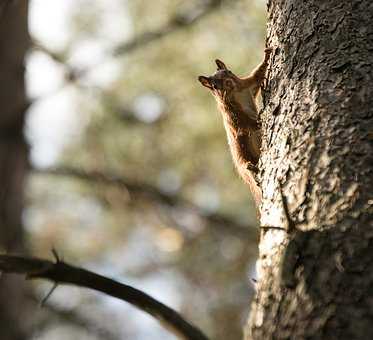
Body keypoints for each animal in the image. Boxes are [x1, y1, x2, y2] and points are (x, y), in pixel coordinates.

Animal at [198, 47, 274, 207]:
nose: (228, 82)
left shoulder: (249, 85)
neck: (236, 92)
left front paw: (267, 55)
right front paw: (260, 120)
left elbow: (258, 75)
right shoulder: (232, 115)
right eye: (214, 86)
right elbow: (245, 124)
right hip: (245, 160)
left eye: (229, 71)